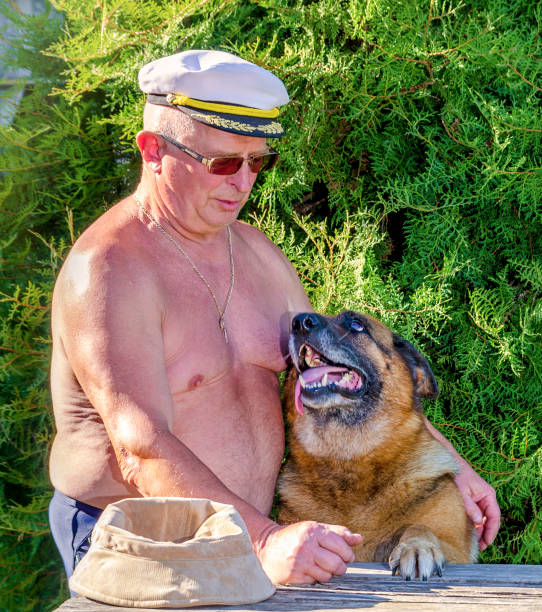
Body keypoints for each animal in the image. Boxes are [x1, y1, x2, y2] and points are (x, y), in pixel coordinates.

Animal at [278, 314, 478, 580]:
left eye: (356, 324)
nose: (299, 321)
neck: (350, 455)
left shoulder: (458, 551)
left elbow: (420, 526)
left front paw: (418, 546)